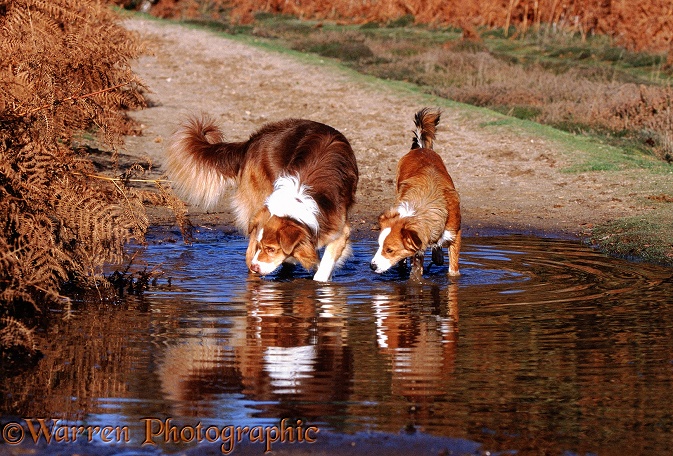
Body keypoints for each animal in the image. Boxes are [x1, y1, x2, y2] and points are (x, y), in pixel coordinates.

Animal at [166, 114, 360, 282]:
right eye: (263, 247)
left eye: (271, 249)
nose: (255, 267)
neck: (299, 198)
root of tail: (254, 139)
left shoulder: (338, 229)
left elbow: (322, 269)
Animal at [368, 108, 462, 278]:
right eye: (379, 245)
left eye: (389, 250)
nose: (372, 266)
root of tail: (420, 148)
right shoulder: (417, 248)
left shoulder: (455, 234)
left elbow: (453, 269)